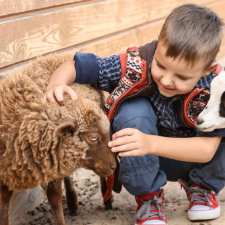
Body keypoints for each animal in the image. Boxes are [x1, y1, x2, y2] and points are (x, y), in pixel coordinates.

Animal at [0, 54, 116, 225]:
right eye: (93, 138)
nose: (114, 166)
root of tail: (62, 55)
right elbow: (3, 209)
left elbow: (54, 198)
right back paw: (73, 202)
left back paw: (106, 200)